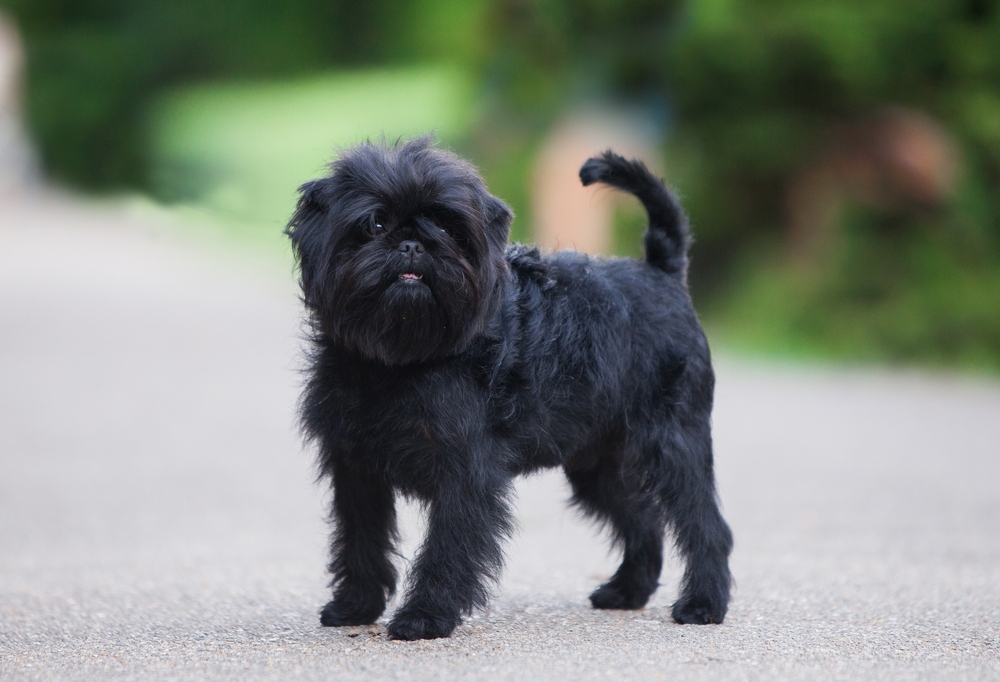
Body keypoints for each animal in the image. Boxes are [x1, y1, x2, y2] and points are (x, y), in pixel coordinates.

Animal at [286, 137, 732, 636]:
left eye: (448, 227)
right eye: (375, 223)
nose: (413, 242)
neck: (398, 360)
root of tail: (662, 273)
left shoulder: (465, 472)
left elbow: (447, 547)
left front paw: (425, 616)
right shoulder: (356, 468)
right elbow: (360, 540)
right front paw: (356, 606)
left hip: (672, 443)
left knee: (705, 525)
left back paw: (703, 603)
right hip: (599, 464)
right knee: (643, 519)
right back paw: (627, 592)